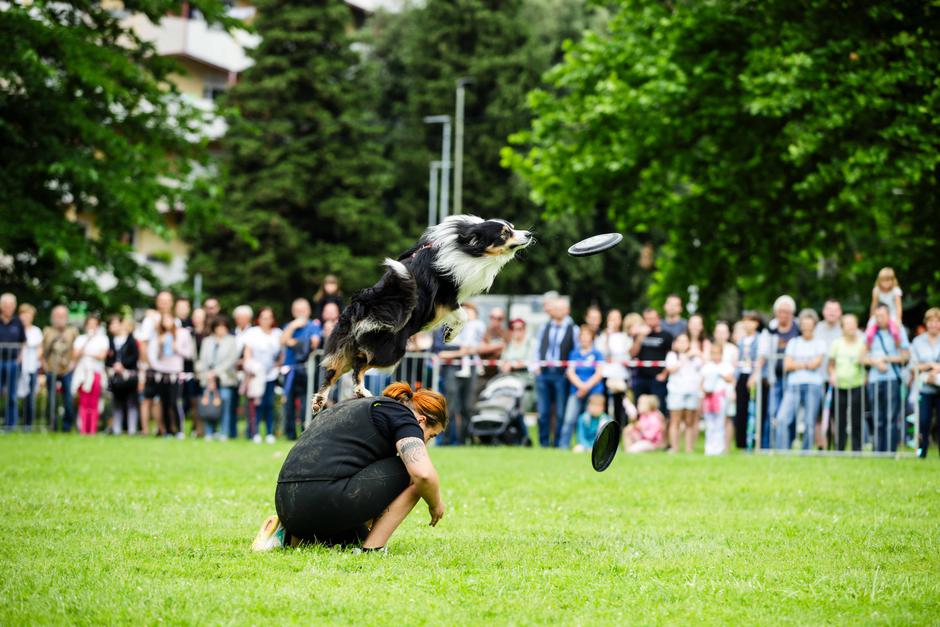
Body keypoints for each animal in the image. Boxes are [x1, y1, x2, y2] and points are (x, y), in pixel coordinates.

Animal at [312, 215, 532, 412]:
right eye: (504, 233)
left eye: (512, 227)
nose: (529, 234)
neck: (465, 247)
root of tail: (363, 304)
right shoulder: (446, 299)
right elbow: (464, 316)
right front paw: (450, 335)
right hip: (392, 351)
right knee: (359, 364)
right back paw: (361, 391)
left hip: (345, 345)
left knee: (331, 372)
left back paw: (319, 401)